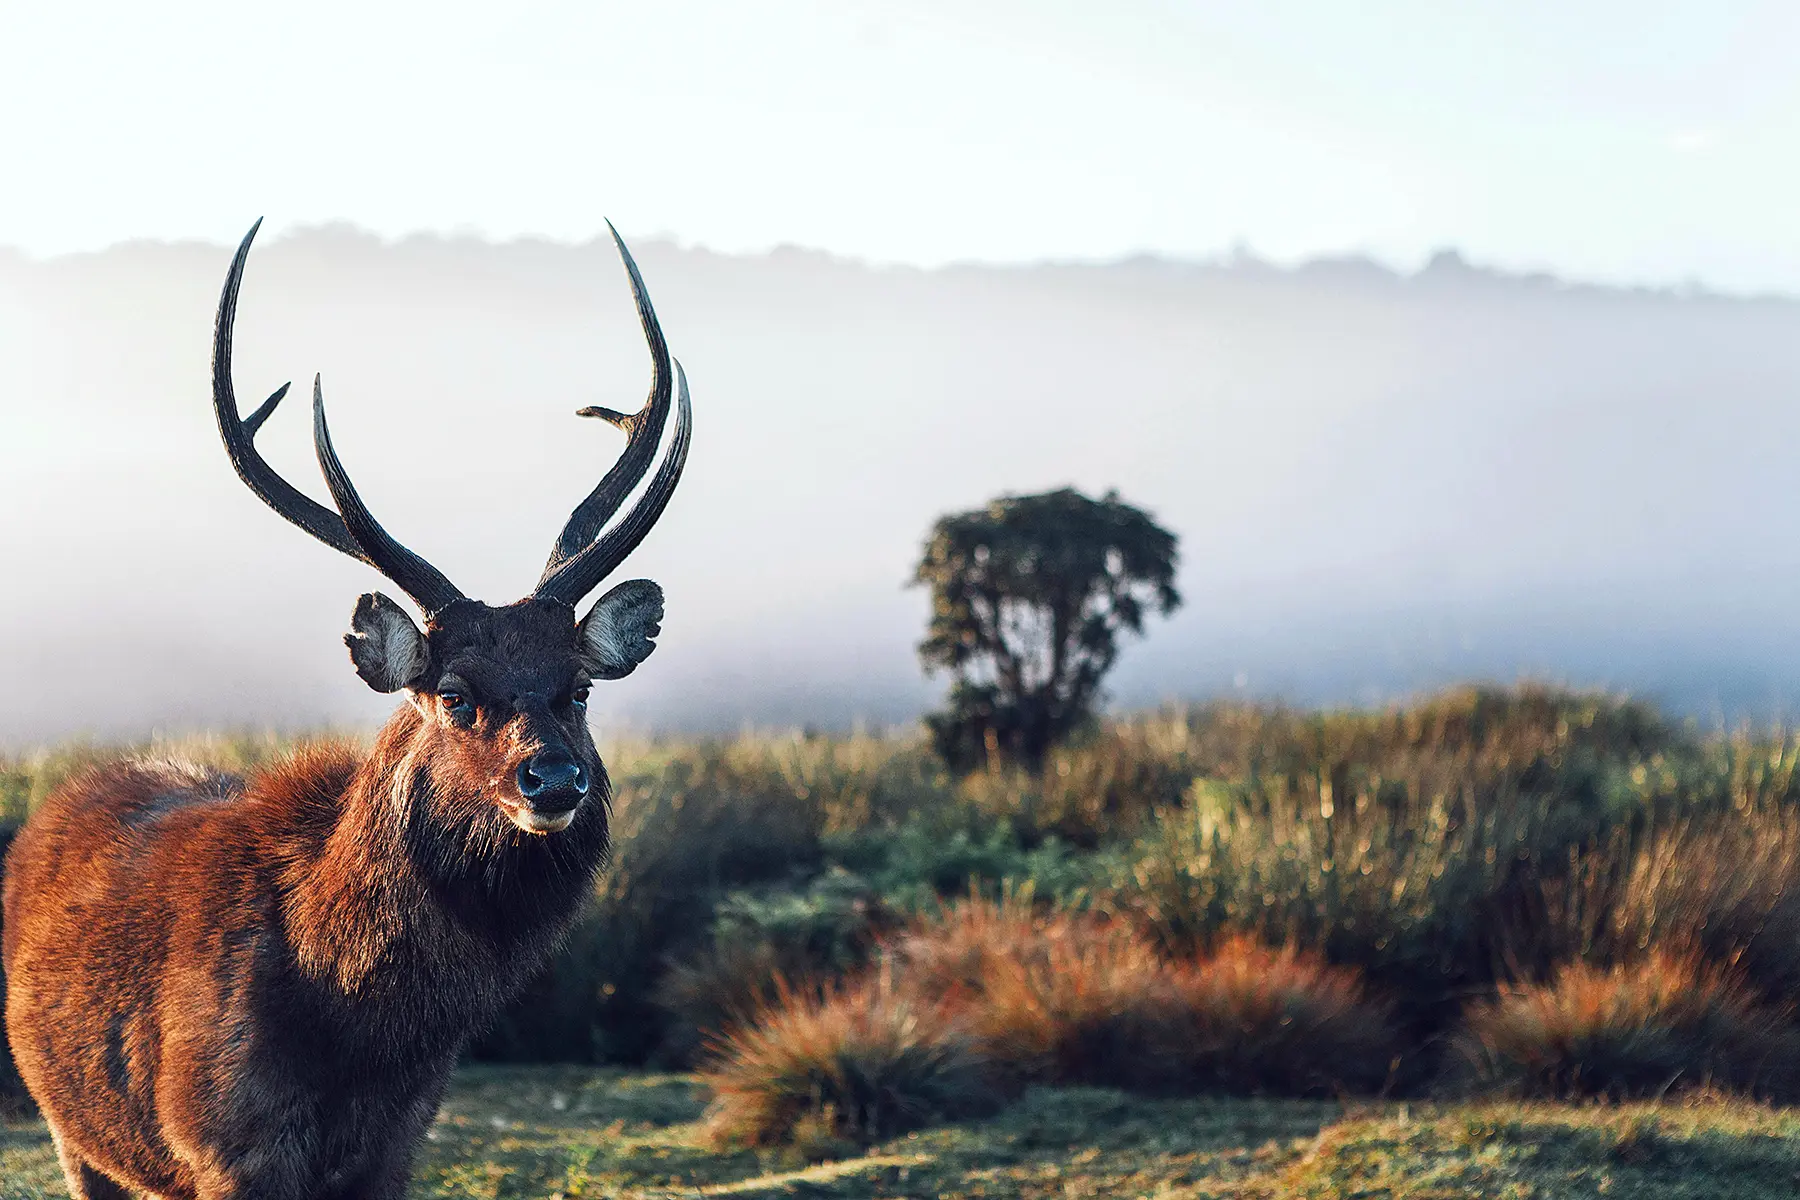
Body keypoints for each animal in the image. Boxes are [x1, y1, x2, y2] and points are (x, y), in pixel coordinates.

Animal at [2, 218, 692, 1200]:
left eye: (580, 689)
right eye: (454, 696)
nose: (554, 780)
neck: (363, 1035)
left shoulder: (397, 1144)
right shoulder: (224, 1146)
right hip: (74, 1133)